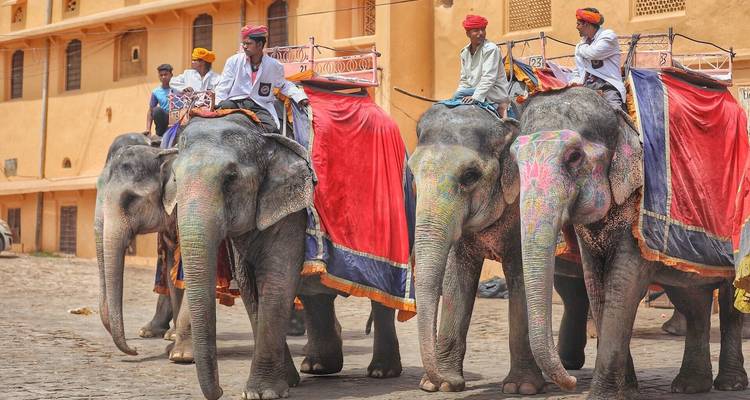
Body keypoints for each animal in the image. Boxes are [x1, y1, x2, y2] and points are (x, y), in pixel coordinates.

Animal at [168, 113, 314, 400]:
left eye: (231, 178)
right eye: (175, 179)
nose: (220, 390)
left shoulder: (293, 212)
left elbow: (278, 280)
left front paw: (263, 393)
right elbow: (249, 286)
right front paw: (284, 384)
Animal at [407, 104, 591, 395]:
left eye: (470, 175)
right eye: (412, 173)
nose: (433, 382)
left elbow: (521, 278)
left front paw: (522, 388)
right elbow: (454, 279)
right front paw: (445, 384)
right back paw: (569, 364)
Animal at [510, 86, 747, 398]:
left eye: (574, 156)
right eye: (514, 160)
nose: (571, 381)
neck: (619, 118)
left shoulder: (638, 207)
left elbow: (622, 285)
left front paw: (604, 395)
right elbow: (595, 286)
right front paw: (629, 390)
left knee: (729, 302)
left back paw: (729, 384)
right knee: (692, 298)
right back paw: (690, 386)